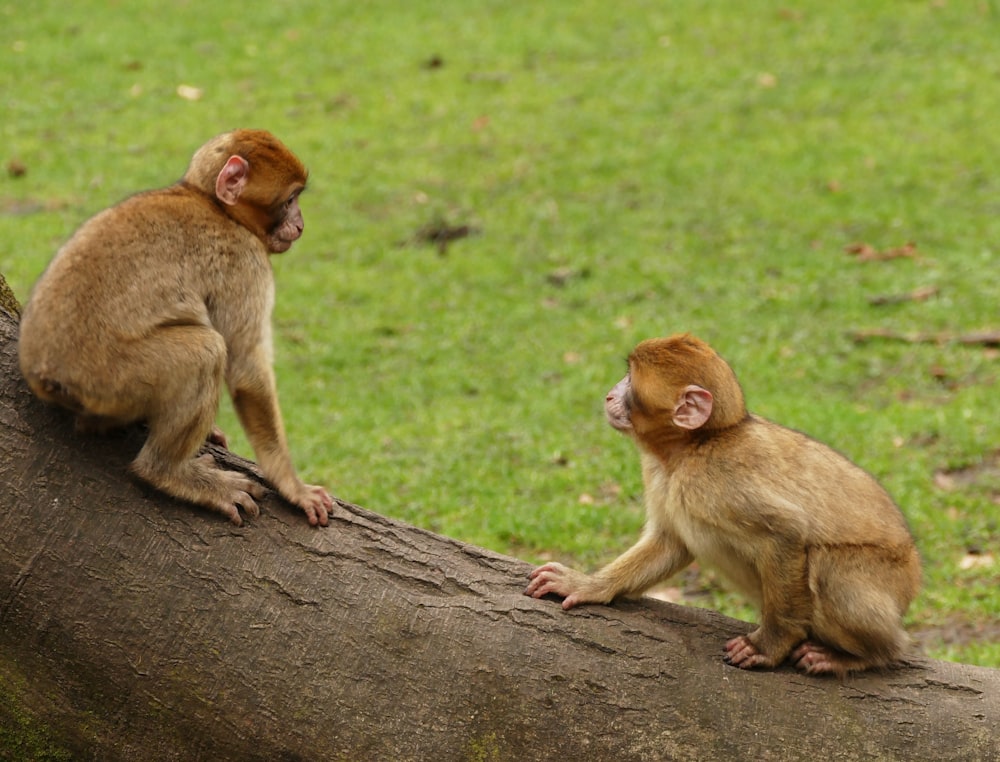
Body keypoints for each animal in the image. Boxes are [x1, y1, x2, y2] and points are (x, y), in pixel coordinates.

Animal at [18, 127, 336, 524]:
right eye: (291, 199)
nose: (301, 224)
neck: (212, 202)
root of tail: (42, 374)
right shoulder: (246, 262)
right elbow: (246, 368)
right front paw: (293, 486)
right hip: (109, 378)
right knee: (206, 351)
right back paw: (166, 472)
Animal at [528, 332, 924, 672]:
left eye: (630, 381)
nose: (610, 395)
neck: (693, 447)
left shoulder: (714, 480)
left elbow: (787, 533)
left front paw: (771, 645)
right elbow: (671, 542)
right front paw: (589, 586)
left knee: (828, 569)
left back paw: (870, 654)